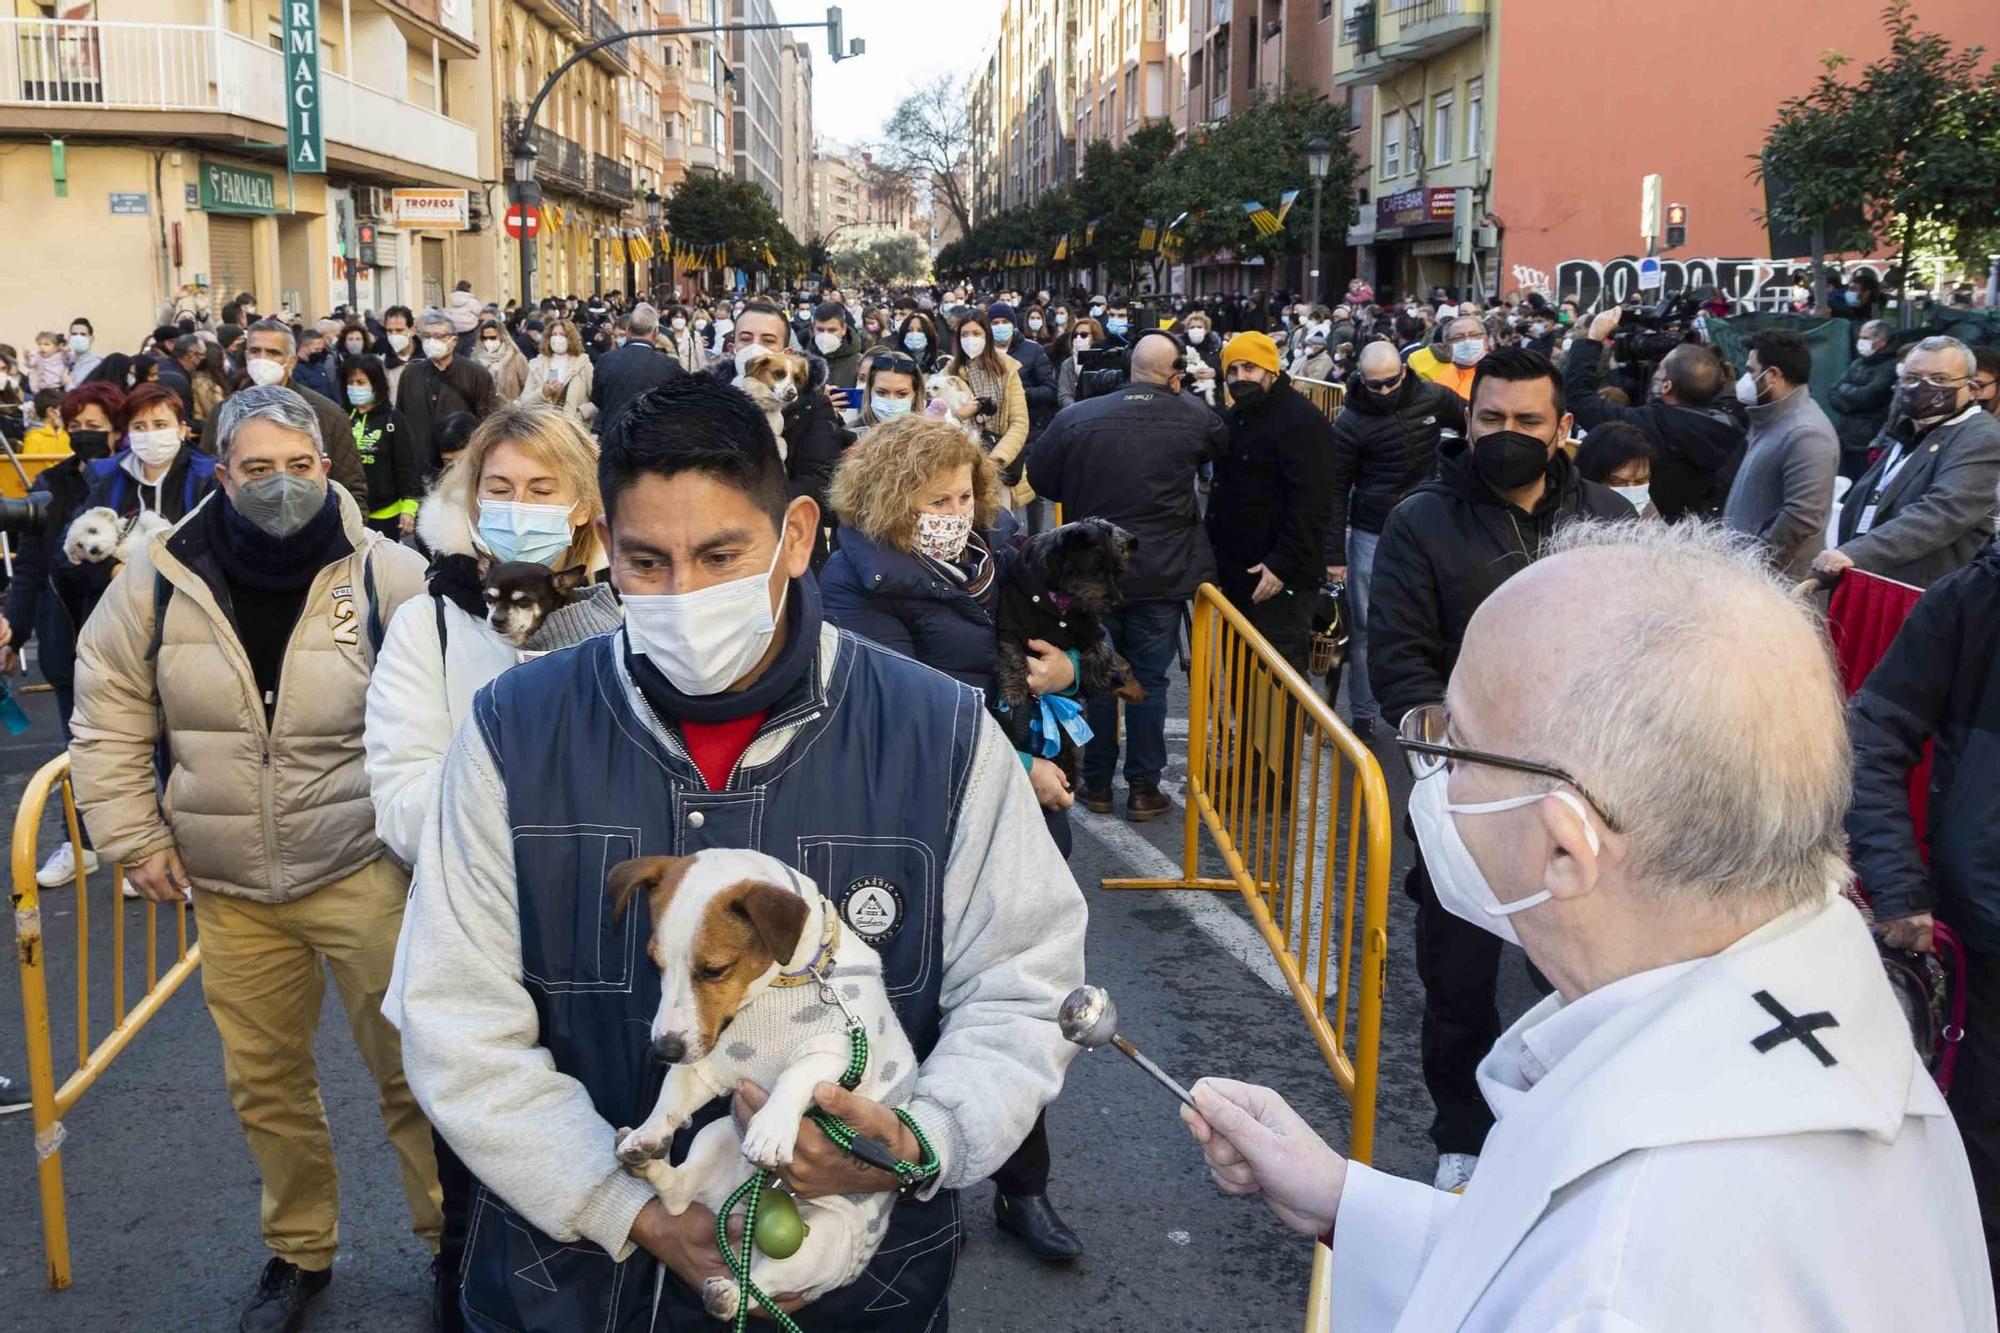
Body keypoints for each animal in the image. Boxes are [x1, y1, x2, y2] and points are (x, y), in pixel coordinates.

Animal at [608, 844, 920, 1312]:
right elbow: (672, 1095)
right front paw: (649, 1131)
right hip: (718, 1133)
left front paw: (771, 1129)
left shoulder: (842, 1047)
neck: (787, 983)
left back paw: (728, 1294)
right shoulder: (710, 1062)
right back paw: (647, 1163)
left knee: (761, 1288)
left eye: (714, 970)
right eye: (655, 964)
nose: (663, 1051)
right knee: (680, 1198)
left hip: (823, 1241)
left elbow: (797, 1071)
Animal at [996, 512, 1152, 772]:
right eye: (1096, 569)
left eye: (1118, 572)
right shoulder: (1009, 624)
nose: (1117, 603)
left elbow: (1100, 647)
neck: (1060, 597)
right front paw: (1014, 690)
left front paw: (1099, 674)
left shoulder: (1090, 626)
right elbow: (1013, 653)